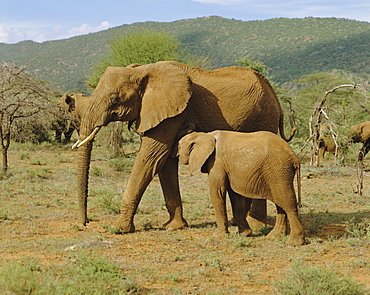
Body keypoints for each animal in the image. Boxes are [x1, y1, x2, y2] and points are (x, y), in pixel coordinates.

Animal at [75, 60, 294, 234]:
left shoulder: (172, 112)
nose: (85, 223)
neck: (142, 70)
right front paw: (174, 227)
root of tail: (276, 97)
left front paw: (120, 229)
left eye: (114, 99)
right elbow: (164, 163)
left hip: (264, 117)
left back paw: (256, 226)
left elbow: (151, 158)